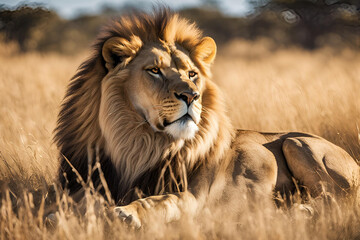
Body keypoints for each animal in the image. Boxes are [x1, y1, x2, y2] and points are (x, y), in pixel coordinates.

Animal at [54, 8, 360, 227]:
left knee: (337, 199)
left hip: (297, 143)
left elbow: (159, 201)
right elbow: (79, 201)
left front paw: (126, 214)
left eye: (192, 74)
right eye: (154, 71)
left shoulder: (194, 197)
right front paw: (60, 215)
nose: (191, 96)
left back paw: (299, 209)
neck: (139, 142)